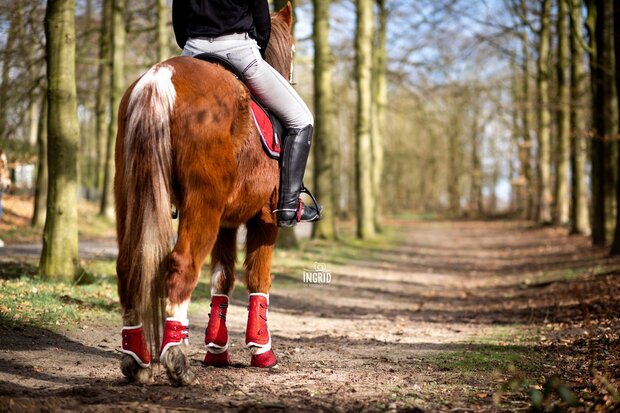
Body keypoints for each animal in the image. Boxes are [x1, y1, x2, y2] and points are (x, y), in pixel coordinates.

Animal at [115, 3, 296, 384]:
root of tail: (161, 77)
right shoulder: (265, 221)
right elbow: (258, 279)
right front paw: (261, 351)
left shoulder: (227, 223)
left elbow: (222, 280)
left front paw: (217, 351)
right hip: (203, 204)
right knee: (182, 265)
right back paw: (176, 359)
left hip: (130, 194)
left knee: (128, 266)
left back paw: (136, 361)